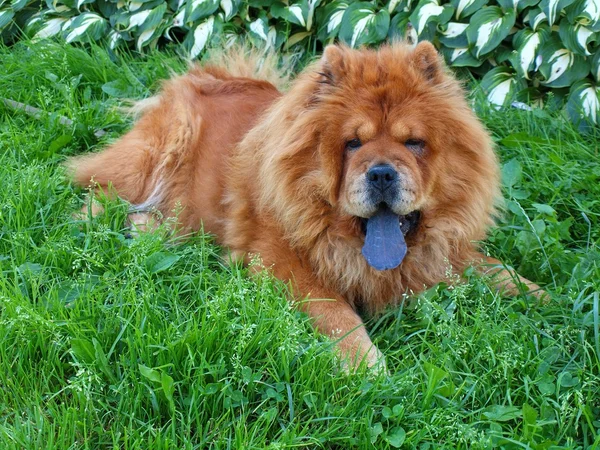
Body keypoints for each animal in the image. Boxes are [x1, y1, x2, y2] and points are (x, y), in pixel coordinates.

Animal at [68, 41, 548, 370]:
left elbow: (497, 270)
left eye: (414, 143)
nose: (381, 174)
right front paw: (367, 365)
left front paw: (546, 298)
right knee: (96, 188)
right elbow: (336, 312)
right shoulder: (279, 260)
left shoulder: (448, 251)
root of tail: (204, 76)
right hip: (156, 153)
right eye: (353, 143)